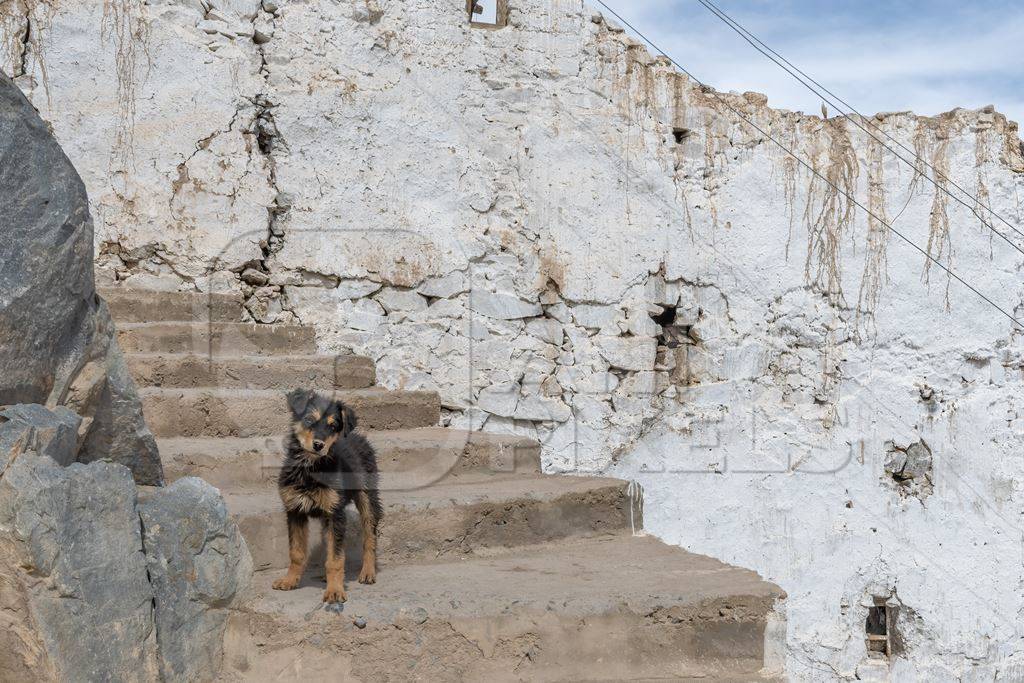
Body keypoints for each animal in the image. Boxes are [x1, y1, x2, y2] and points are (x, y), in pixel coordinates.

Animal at [272, 389, 385, 602]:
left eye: (333, 426)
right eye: (309, 420)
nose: (318, 445)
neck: (311, 468)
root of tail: (358, 436)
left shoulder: (336, 514)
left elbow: (336, 559)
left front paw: (335, 591)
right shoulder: (295, 509)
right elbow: (297, 552)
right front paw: (290, 581)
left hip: (367, 496)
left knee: (370, 536)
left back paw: (368, 572)